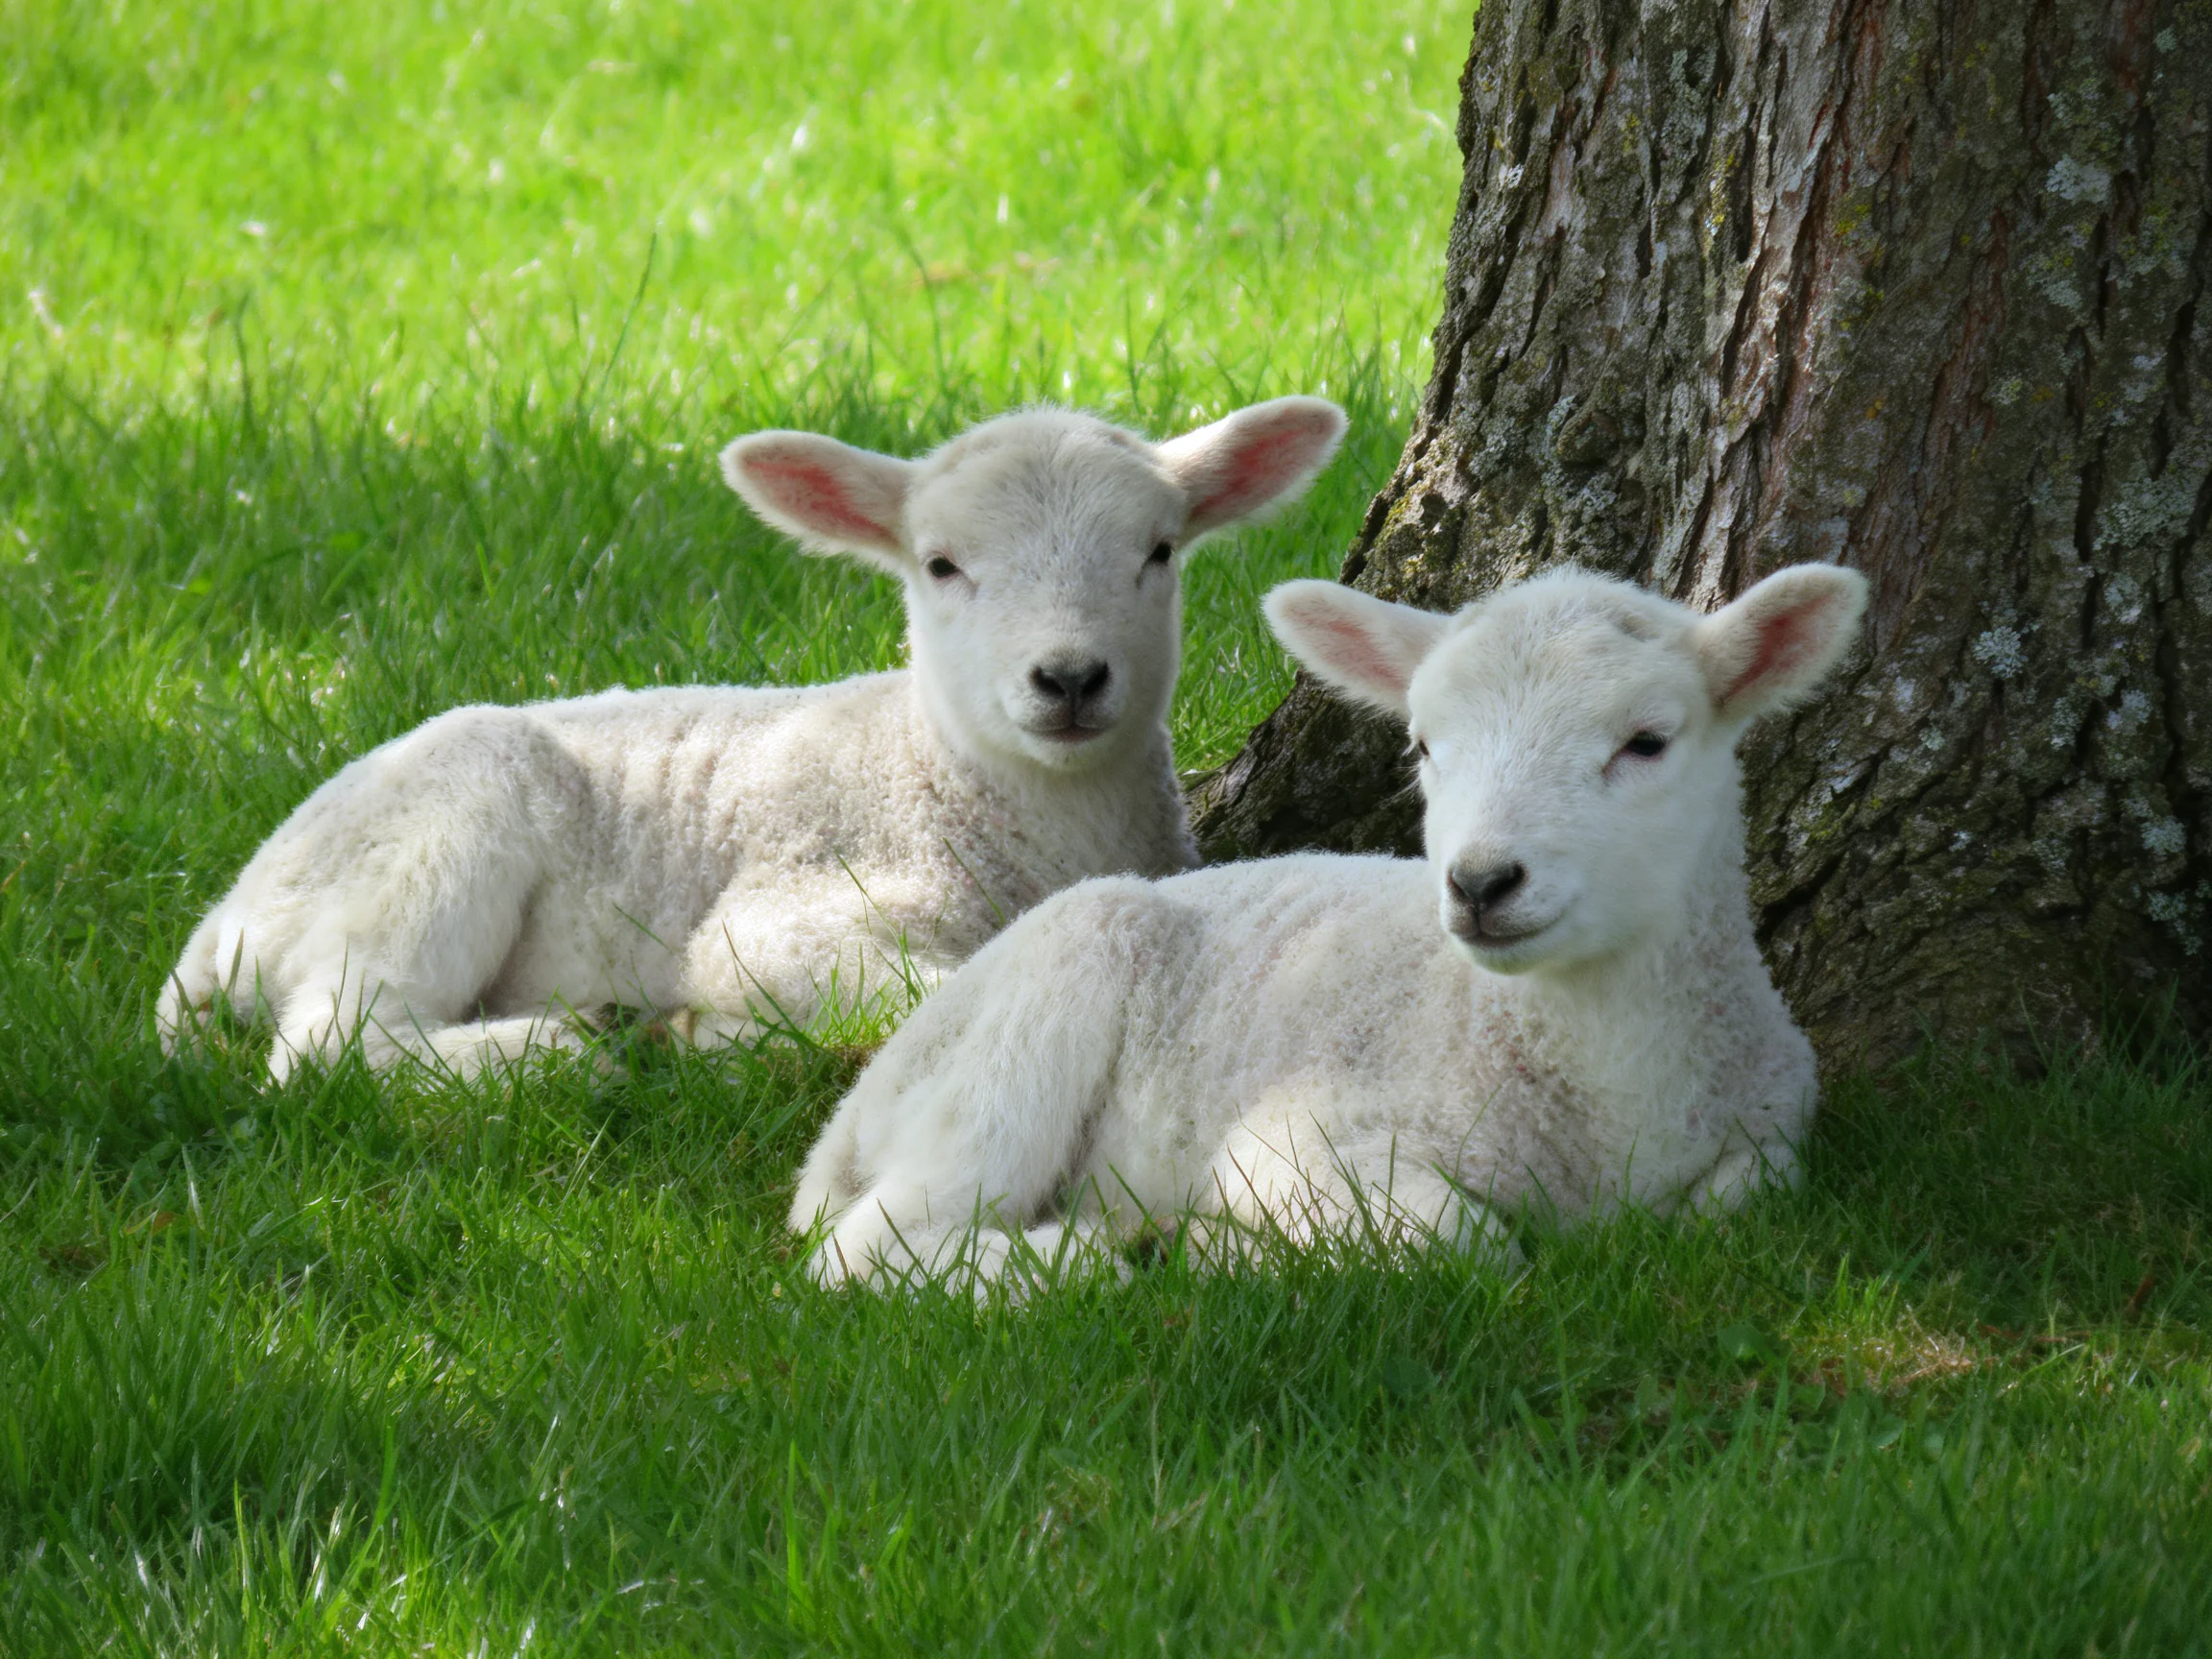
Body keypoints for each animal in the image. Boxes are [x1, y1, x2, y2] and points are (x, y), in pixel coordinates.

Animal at [157, 397, 1349, 1080]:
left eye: (1160, 551)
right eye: (941, 565)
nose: (1067, 678)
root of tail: (222, 925)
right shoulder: (779, 918)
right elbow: (934, 988)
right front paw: (719, 1027)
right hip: (433, 835)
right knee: (329, 1047)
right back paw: (560, 1051)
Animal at [788, 561, 1869, 1289]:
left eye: (1647, 743)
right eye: (1425, 745)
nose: (1481, 882)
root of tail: (842, 1130)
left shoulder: (1774, 1128)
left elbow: (1741, 1201)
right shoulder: (1292, 1138)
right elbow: (1469, 1244)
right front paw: (1224, 1245)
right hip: (1034, 1014)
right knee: (866, 1249)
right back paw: (1100, 1256)